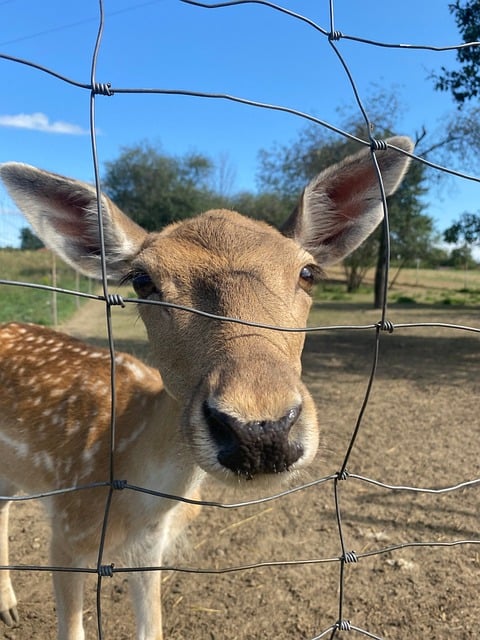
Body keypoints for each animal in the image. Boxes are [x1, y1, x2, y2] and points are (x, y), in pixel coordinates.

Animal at [0, 136, 413, 639]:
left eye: (308, 272)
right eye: (142, 280)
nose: (261, 430)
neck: (135, 507)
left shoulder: (150, 551)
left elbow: (152, 629)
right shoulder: (66, 530)